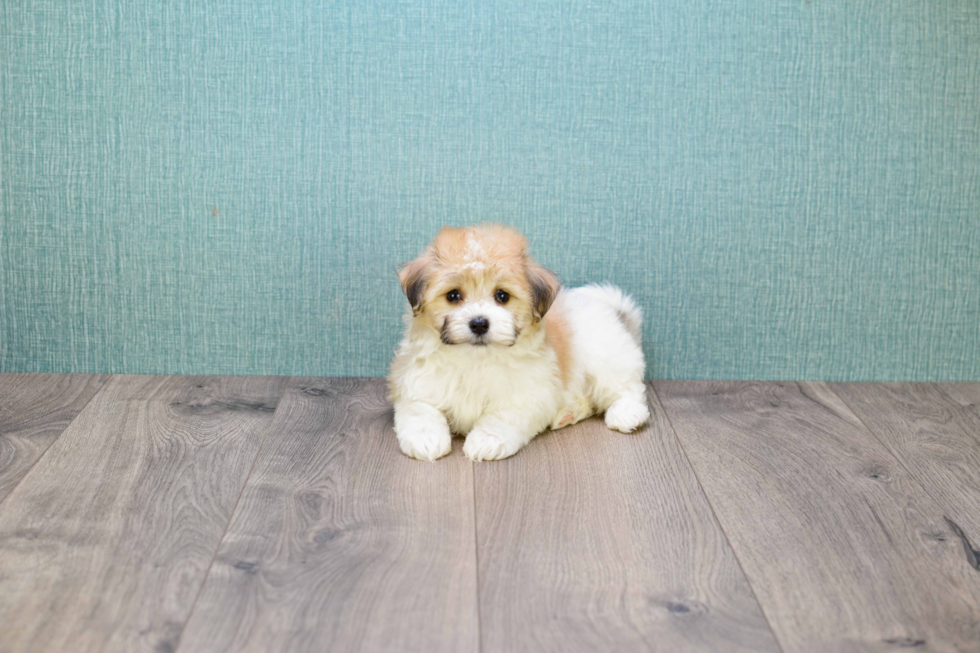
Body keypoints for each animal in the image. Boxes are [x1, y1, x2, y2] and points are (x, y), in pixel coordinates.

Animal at [388, 224, 652, 458]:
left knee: (626, 388)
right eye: (453, 295)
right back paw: (568, 413)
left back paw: (626, 413)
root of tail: (612, 312)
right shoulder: (416, 386)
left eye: (502, 296)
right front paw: (426, 439)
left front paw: (487, 440)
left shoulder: (527, 395)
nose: (479, 323)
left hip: (606, 357)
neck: (475, 360)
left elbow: (502, 417)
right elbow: (420, 411)